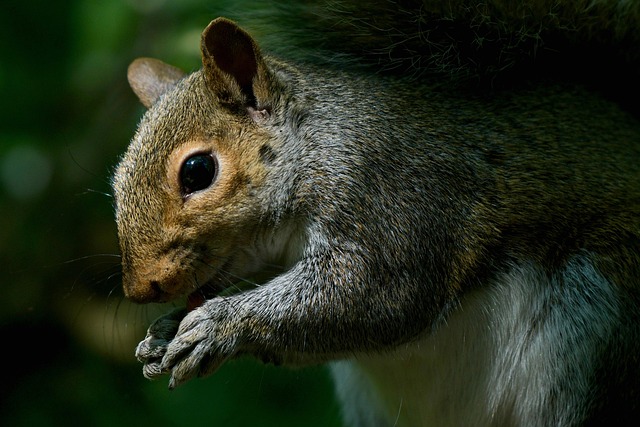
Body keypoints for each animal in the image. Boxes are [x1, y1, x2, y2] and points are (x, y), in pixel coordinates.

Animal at [113, 1, 640, 426]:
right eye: (115, 183)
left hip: (596, 330)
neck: (315, 144)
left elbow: (372, 295)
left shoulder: (391, 192)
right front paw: (163, 332)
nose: (140, 290)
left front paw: (218, 325)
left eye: (198, 171)